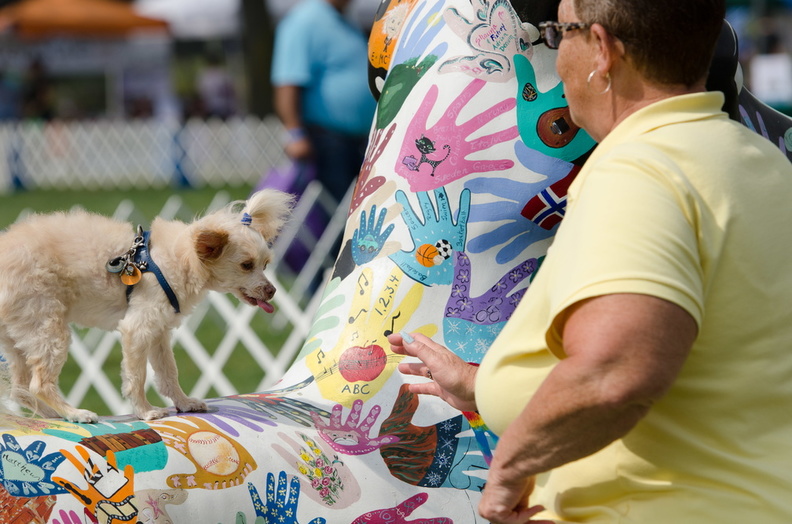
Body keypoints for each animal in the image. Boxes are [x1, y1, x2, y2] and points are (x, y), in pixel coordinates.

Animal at [0, 190, 294, 424]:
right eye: (246, 265)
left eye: (266, 264)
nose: (272, 290)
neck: (175, 258)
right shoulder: (137, 329)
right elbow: (136, 377)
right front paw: (145, 411)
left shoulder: (159, 332)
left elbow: (168, 373)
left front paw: (184, 403)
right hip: (48, 328)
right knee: (38, 385)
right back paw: (75, 414)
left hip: (20, 339)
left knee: (20, 389)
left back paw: (53, 416)